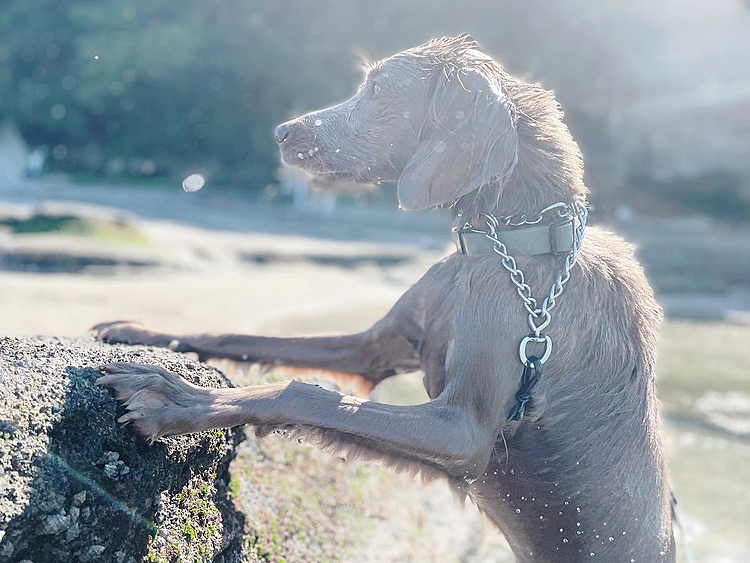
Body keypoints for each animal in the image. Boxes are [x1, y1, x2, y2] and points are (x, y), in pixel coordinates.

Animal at [94, 36, 676, 563]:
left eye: (379, 89)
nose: (283, 132)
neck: (507, 240)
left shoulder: (464, 431)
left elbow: (302, 394)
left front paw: (173, 399)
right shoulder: (375, 347)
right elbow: (244, 337)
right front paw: (137, 332)